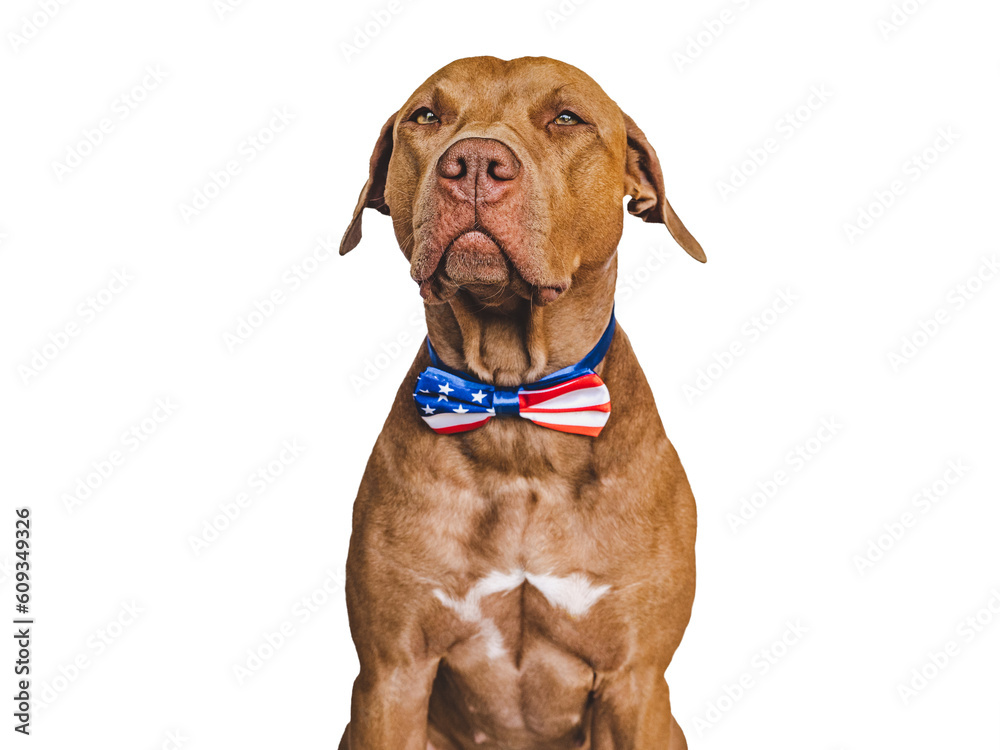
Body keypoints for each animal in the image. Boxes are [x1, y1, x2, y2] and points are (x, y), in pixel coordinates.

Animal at [336, 55, 704, 748]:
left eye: (566, 118)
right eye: (426, 115)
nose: (474, 162)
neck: (516, 411)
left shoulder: (635, 680)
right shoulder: (392, 675)